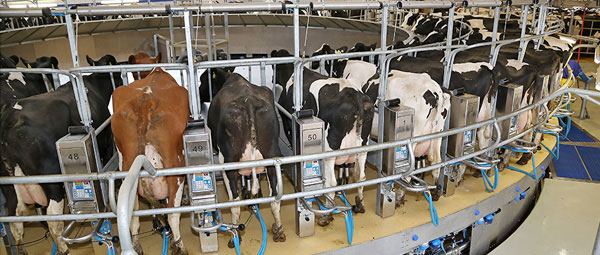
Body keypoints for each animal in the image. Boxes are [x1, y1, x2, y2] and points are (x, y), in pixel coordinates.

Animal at [0, 54, 120, 254]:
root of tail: (10, 120)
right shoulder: (106, 144)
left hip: (9, 185)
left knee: (15, 220)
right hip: (52, 180)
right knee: (52, 218)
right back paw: (63, 247)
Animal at [207, 71, 288, 247]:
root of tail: (249, 101)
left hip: (227, 162)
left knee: (234, 203)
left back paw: (234, 236)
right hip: (273, 156)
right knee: (275, 198)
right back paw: (278, 230)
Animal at [274, 48, 376, 225]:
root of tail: (353, 94)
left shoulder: (287, 123)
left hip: (330, 150)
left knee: (332, 183)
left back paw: (327, 215)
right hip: (363, 146)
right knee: (361, 176)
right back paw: (359, 204)